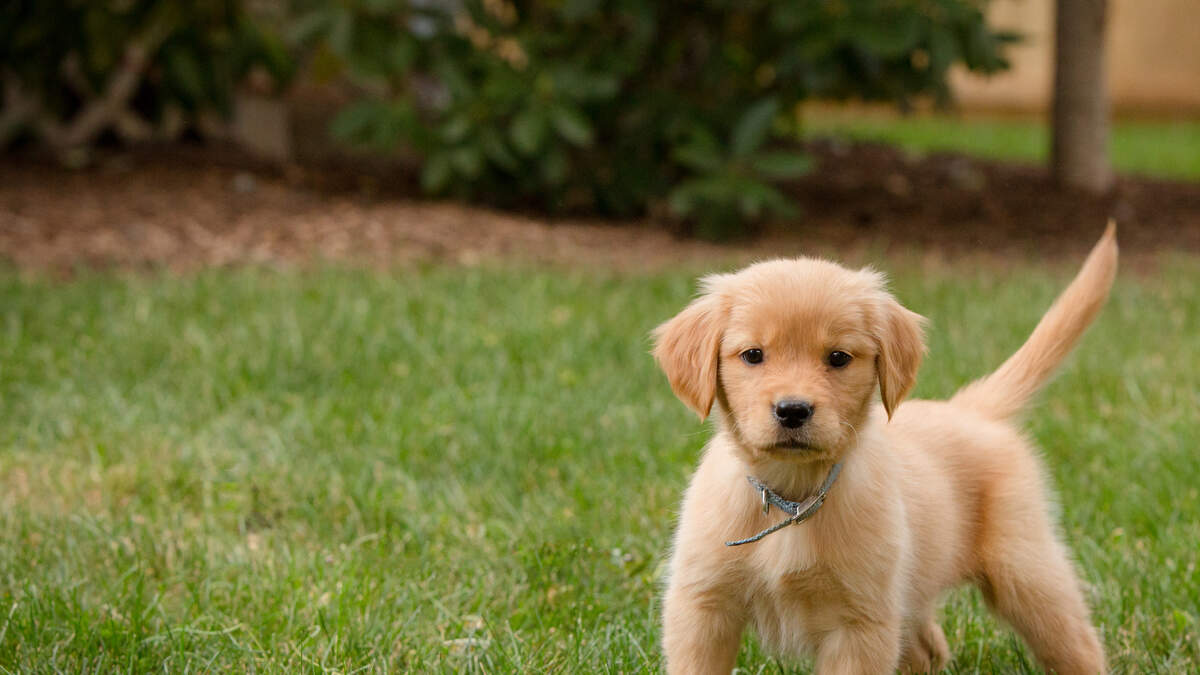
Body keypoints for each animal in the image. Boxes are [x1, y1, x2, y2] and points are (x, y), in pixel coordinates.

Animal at [652, 225, 1117, 674]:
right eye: (752, 355)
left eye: (838, 357)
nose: (793, 410)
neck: (792, 501)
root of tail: (971, 408)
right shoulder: (701, 607)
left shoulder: (860, 624)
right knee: (929, 649)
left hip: (1023, 568)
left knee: (1076, 641)